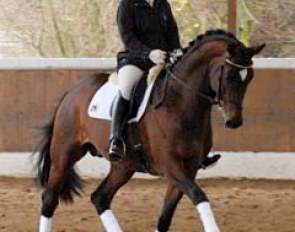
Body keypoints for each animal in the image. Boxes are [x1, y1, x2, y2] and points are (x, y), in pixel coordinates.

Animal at [34, 29, 266, 232]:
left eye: (250, 77)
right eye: (230, 75)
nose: (234, 121)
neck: (179, 104)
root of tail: (71, 92)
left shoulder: (188, 170)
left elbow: (165, 217)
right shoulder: (171, 167)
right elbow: (199, 197)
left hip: (124, 165)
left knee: (100, 198)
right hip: (64, 154)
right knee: (50, 199)